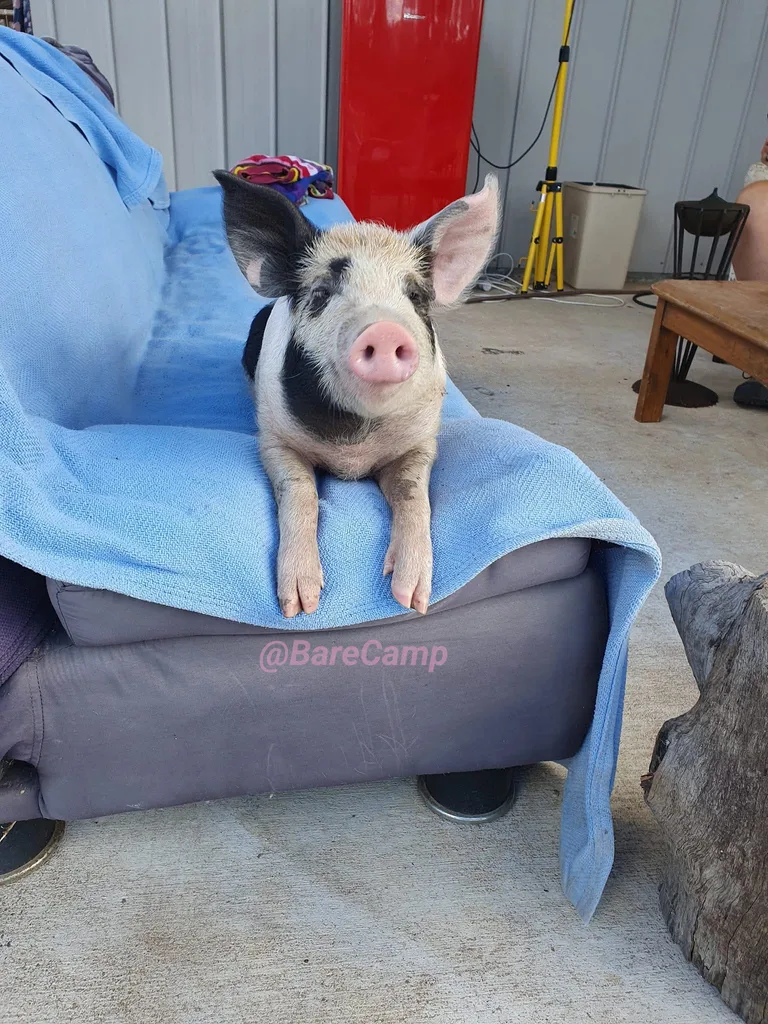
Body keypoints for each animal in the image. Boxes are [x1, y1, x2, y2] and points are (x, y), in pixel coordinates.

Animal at [213, 169, 499, 618]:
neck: (353, 450)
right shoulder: (274, 440)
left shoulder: (420, 443)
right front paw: (300, 604)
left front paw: (411, 598)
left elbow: (413, 495)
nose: (383, 330)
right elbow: (301, 491)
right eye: (321, 294)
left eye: (416, 297)